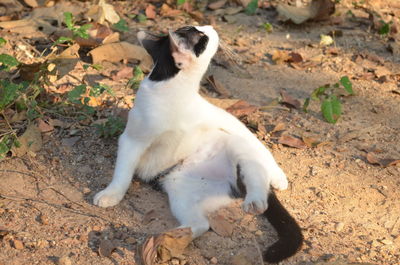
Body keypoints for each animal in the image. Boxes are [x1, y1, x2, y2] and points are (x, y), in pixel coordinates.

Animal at [93, 25, 300, 262]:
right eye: (201, 37)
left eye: (200, 30)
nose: (210, 26)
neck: (173, 91)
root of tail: (232, 183)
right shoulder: (132, 140)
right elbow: (122, 174)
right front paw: (111, 194)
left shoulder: (220, 119)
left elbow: (256, 143)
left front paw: (278, 174)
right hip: (181, 193)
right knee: (201, 224)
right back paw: (168, 239)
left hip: (234, 146)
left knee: (257, 176)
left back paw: (257, 199)